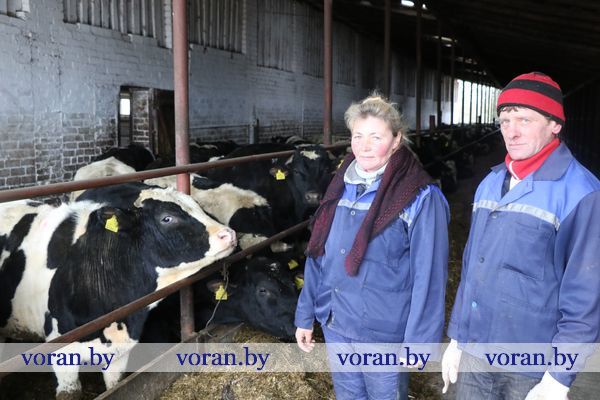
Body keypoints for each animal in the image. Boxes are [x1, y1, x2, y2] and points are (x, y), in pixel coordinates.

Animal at [0, 183, 236, 398]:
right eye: (167, 218)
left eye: (198, 206)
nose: (229, 234)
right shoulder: (61, 351)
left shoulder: (120, 350)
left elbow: (115, 386)